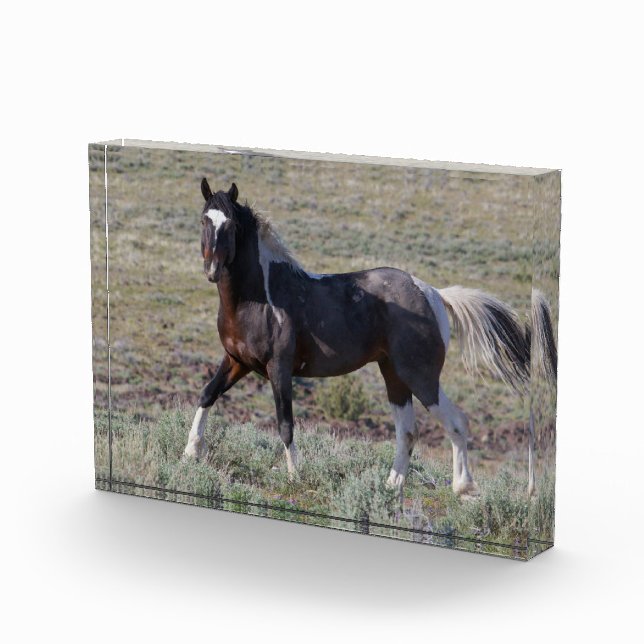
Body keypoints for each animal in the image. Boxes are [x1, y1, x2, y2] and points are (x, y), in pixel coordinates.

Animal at [183, 178, 536, 497]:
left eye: (230, 224)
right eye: (204, 219)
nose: (212, 270)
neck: (258, 300)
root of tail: (433, 292)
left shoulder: (279, 368)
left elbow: (285, 424)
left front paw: (295, 477)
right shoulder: (237, 361)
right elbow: (206, 395)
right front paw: (190, 453)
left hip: (420, 375)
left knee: (456, 422)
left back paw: (463, 489)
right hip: (394, 375)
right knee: (407, 432)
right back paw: (391, 487)